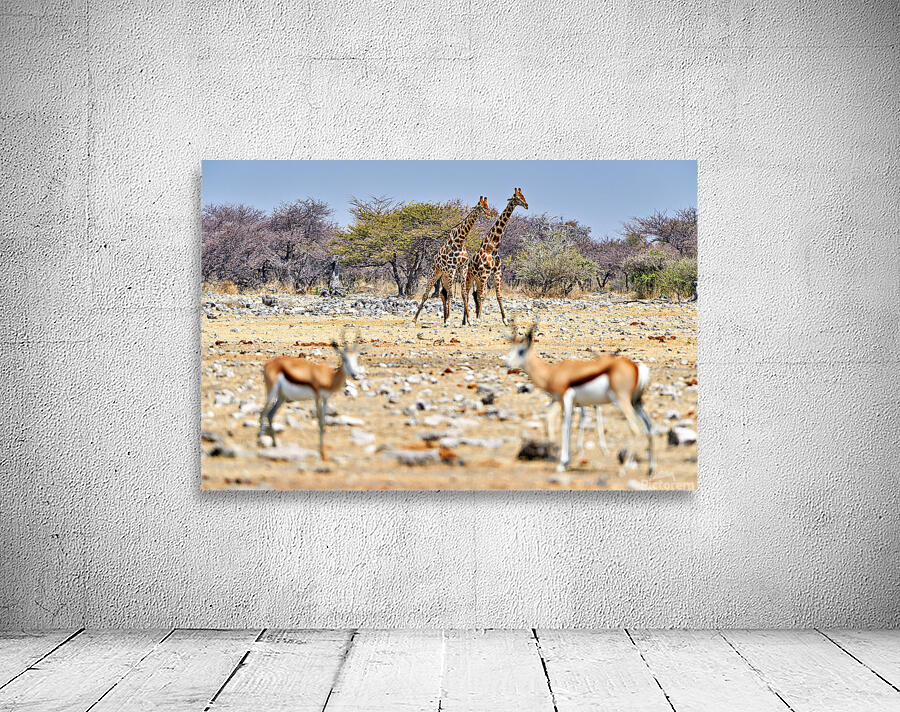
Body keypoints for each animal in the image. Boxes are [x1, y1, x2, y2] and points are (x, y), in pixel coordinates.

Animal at [413, 196, 494, 324]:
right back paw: (415, 319)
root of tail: (434, 260)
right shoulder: (452, 268)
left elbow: (464, 294)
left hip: (445, 276)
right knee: (426, 295)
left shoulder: (462, 267)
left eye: (487, 205)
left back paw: (445, 318)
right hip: (435, 273)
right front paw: (450, 318)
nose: (488, 215)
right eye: (481, 206)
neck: (459, 240)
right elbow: (451, 294)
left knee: (443, 293)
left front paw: (469, 320)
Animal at [461, 187, 528, 326]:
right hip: (471, 277)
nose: (526, 205)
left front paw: (505, 319)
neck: (493, 248)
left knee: (476, 294)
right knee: (468, 294)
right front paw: (478, 318)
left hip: (479, 279)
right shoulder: (485, 273)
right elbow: (482, 296)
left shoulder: (497, 273)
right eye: (517, 197)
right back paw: (466, 320)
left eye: (524, 196)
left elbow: (498, 295)